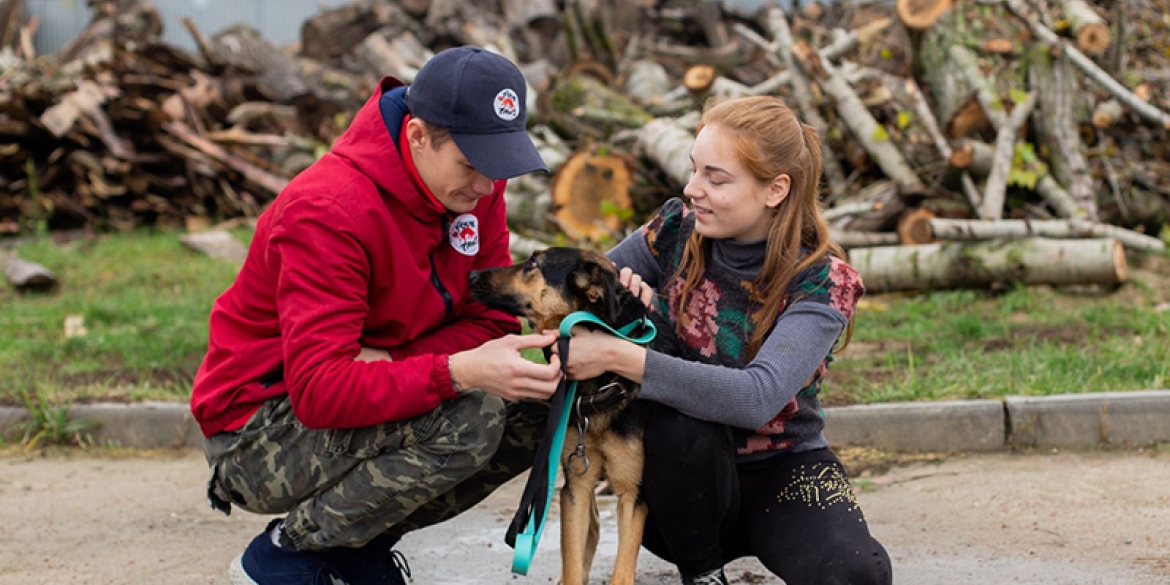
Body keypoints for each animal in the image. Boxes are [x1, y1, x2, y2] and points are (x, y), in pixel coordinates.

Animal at [472, 248, 659, 585]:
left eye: (533, 263)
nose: (471, 276)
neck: (601, 386)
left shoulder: (632, 493)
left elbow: (623, 568)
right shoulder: (576, 487)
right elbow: (572, 555)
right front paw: (573, 573)